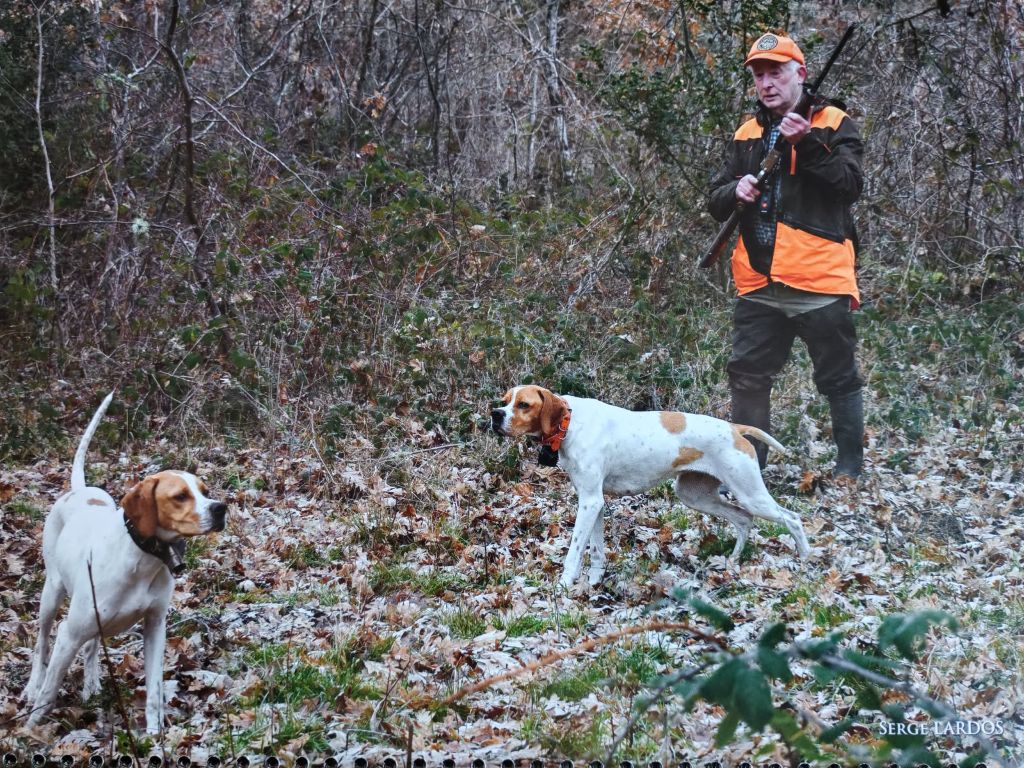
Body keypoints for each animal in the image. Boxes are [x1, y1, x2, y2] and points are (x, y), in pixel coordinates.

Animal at [22, 393, 227, 737]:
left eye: (205, 492)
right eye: (180, 496)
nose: (221, 508)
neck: (144, 560)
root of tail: (80, 490)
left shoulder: (155, 627)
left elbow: (155, 689)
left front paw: (155, 735)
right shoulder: (69, 633)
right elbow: (49, 691)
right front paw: (29, 730)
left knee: (92, 647)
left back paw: (91, 684)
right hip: (51, 596)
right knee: (41, 646)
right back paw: (30, 687)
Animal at [491, 385, 811, 589]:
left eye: (523, 404)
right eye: (504, 400)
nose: (495, 414)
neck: (569, 423)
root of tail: (735, 428)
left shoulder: (590, 502)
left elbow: (575, 551)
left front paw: (565, 585)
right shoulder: (593, 502)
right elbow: (596, 550)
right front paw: (594, 581)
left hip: (750, 493)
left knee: (792, 518)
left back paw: (806, 559)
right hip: (695, 495)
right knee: (744, 519)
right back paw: (732, 560)